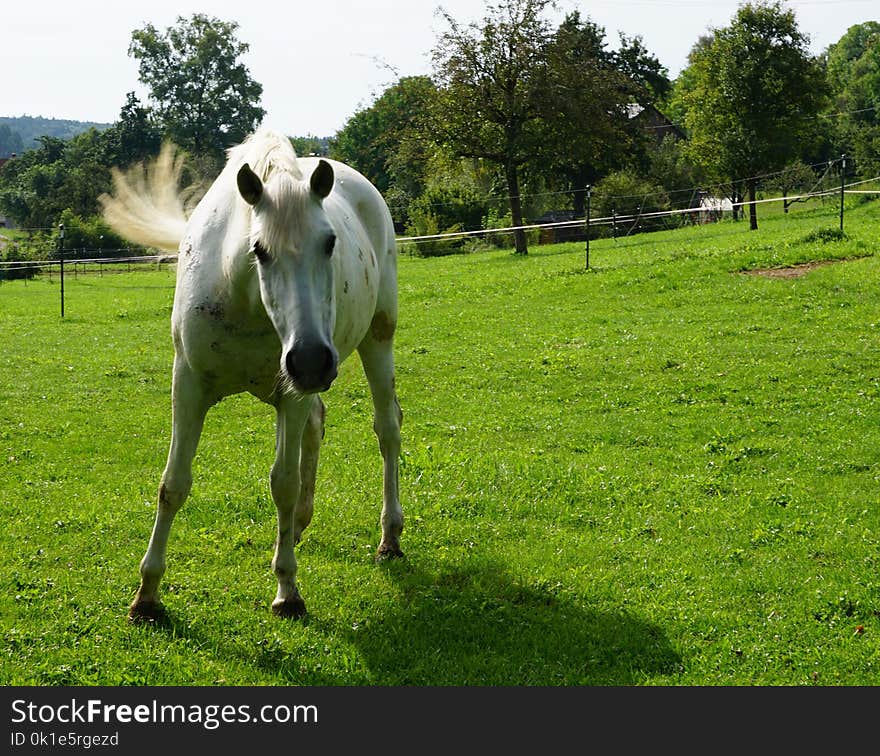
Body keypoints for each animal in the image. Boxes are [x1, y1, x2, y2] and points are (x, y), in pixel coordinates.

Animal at [101, 130, 404, 620]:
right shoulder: (188, 385)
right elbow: (173, 484)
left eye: (330, 243)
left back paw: (389, 538)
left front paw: (287, 591)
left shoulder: (291, 396)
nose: (312, 360)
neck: (241, 296)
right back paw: (298, 527)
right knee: (318, 424)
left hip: (378, 338)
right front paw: (147, 594)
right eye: (259, 249)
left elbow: (282, 482)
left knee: (387, 429)